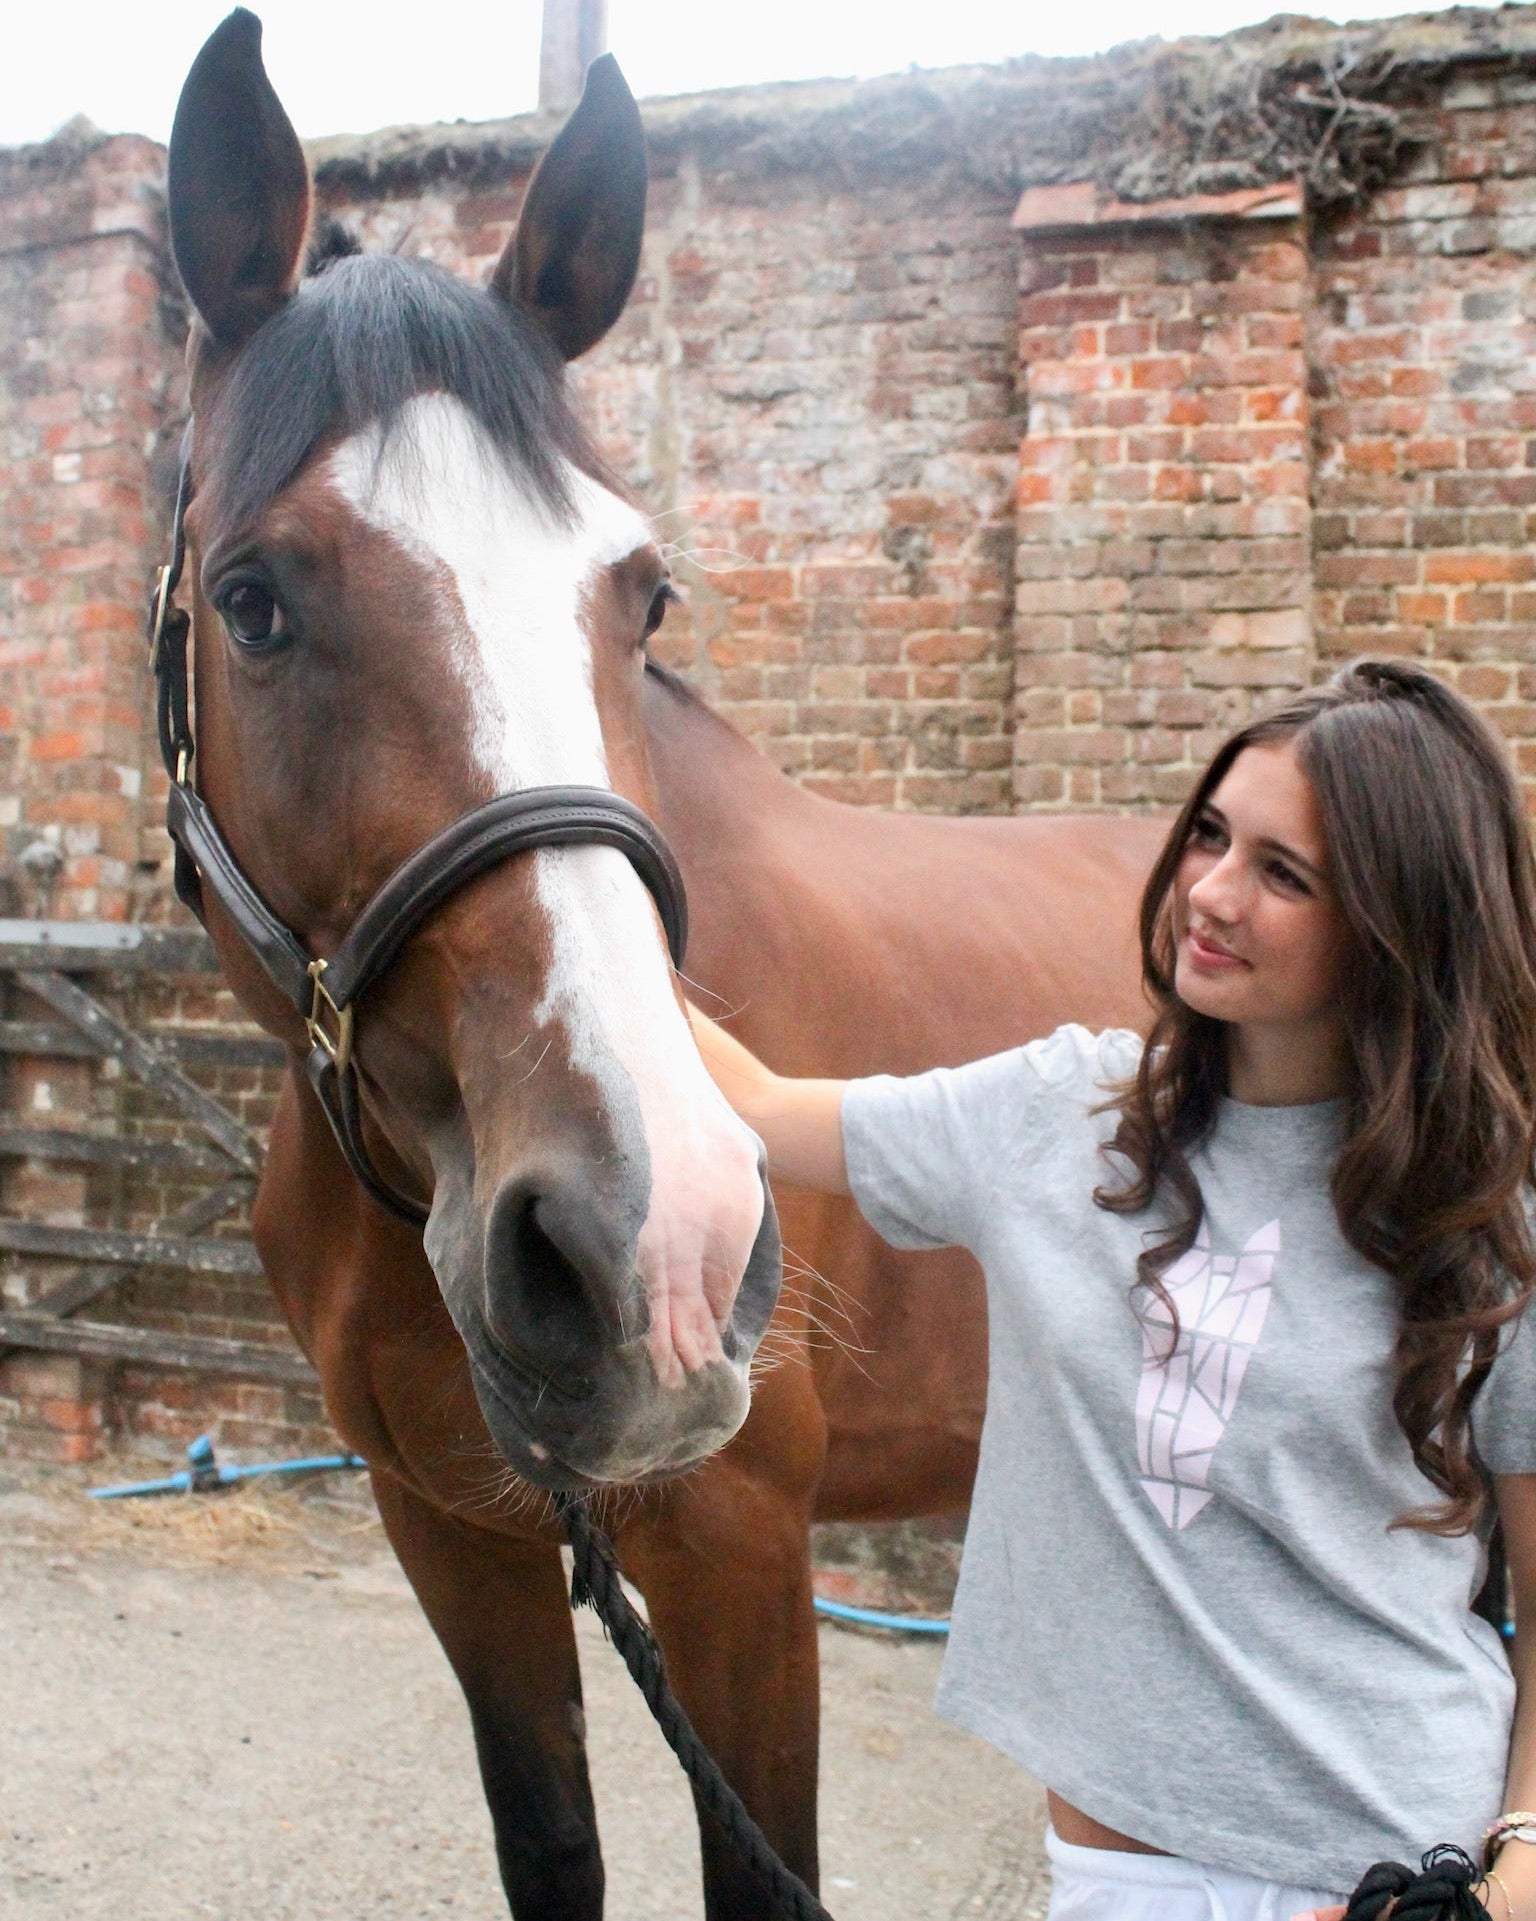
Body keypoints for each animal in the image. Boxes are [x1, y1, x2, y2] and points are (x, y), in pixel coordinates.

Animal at [160, 13, 1164, 1916]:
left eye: (643, 597)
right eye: (252, 601)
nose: (656, 1247)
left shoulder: (733, 1540)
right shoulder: (449, 1525)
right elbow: (549, 1841)